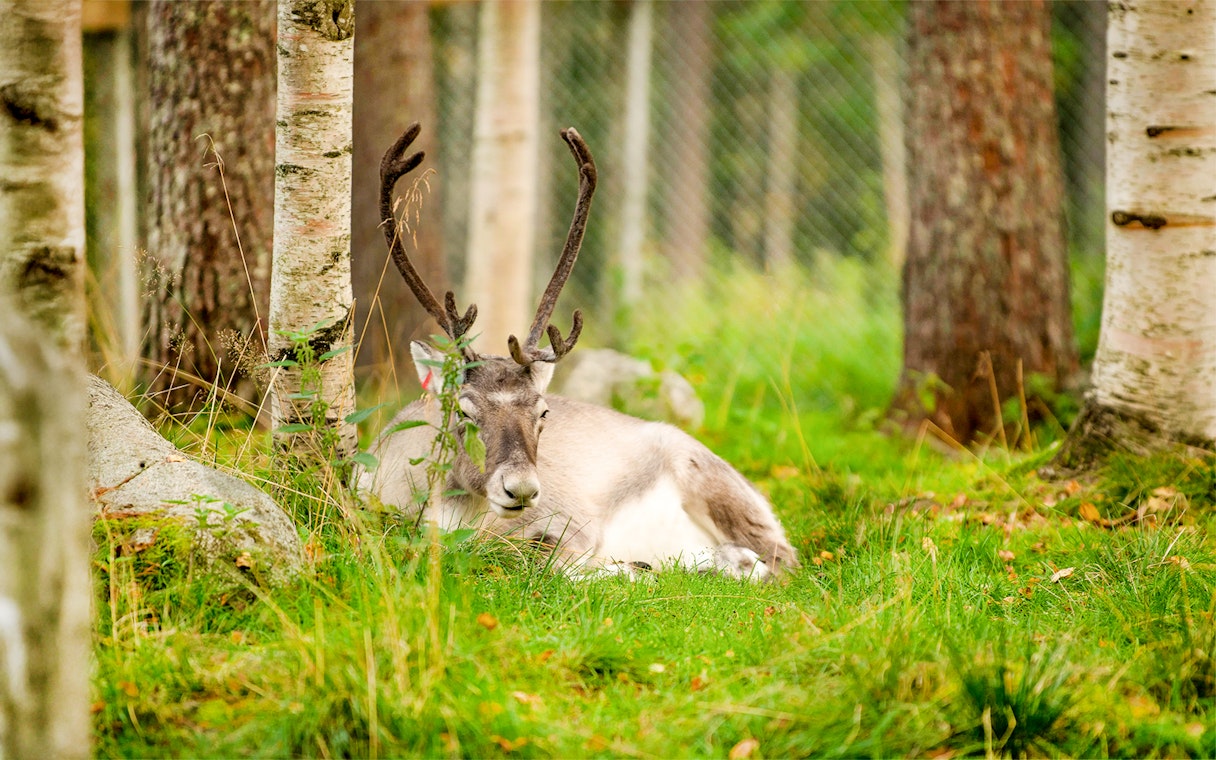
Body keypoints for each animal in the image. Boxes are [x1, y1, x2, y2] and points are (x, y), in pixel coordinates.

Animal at [358, 123, 798, 580]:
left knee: (781, 559)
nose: (522, 489)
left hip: (712, 482)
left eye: (543, 411)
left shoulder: (572, 523)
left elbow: (549, 562)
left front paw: (632, 569)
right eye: (463, 411)